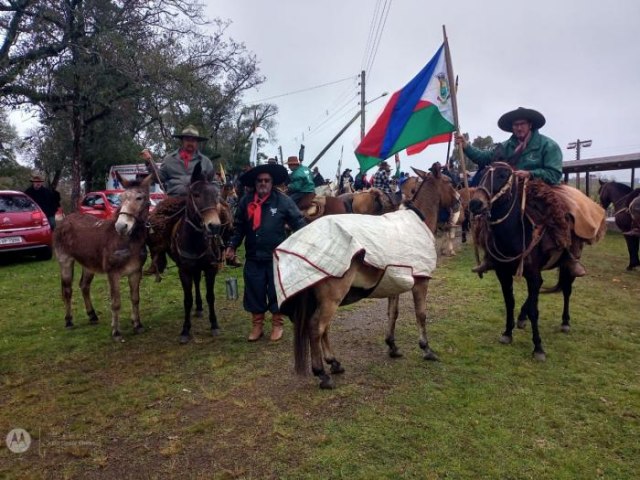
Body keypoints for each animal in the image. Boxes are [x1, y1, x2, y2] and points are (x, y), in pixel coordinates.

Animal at [53, 172, 152, 338]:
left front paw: (137, 325)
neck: (128, 241)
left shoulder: (135, 272)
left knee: (84, 286)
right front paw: (116, 331)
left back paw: (92, 315)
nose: (121, 226)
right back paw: (68, 321)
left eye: (139, 198)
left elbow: (135, 299)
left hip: (88, 264)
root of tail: (65, 219)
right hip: (65, 260)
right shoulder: (113, 274)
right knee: (67, 290)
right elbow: (116, 303)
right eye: (121, 198)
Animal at [276, 167, 460, 388]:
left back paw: (334, 363)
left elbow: (393, 313)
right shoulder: (421, 281)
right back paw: (322, 373)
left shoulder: (395, 281)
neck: (417, 220)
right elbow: (421, 314)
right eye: (449, 182)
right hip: (332, 297)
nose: (458, 201)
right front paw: (426, 348)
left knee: (323, 328)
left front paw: (392, 346)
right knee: (316, 328)